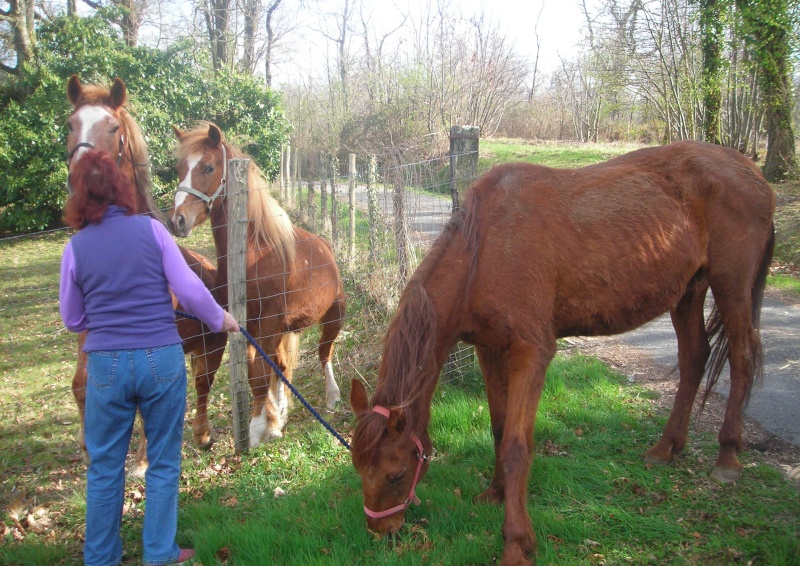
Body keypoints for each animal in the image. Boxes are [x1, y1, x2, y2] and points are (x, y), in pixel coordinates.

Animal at [167, 123, 346, 448]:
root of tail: (325, 248)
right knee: (283, 366)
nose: (178, 221)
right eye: (179, 168)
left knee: (324, 353)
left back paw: (333, 395)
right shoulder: (248, 325)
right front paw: (271, 423)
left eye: (209, 167)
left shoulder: (269, 321)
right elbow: (257, 373)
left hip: (334, 317)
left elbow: (261, 374)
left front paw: (255, 429)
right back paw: (283, 410)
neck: (256, 252)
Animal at [350, 140, 776, 564]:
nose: (381, 532)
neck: (484, 249)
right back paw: (667, 447)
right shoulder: (490, 349)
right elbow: (499, 428)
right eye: (358, 468)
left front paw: (516, 543)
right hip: (688, 291)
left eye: (396, 473)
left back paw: (727, 457)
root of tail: (752, 172)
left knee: (741, 359)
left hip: (731, 287)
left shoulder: (531, 353)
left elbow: (516, 446)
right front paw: (496, 493)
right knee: (694, 359)